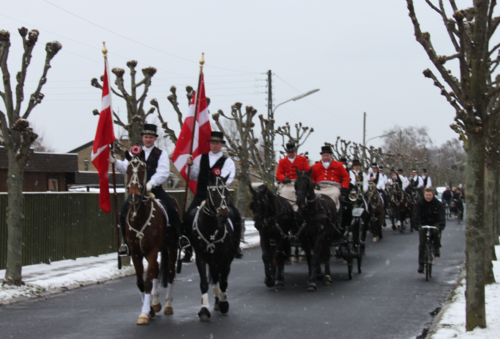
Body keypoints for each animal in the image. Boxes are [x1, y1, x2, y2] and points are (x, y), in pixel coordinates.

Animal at [124, 149, 179, 326]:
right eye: (128, 171)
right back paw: (155, 303)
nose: (134, 196)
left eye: (142, 171)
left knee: (169, 273)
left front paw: (144, 314)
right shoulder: (136, 253)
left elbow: (148, 281)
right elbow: (141, 282)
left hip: (171, 248)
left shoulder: (152, 251)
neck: (140, 215)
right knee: (155, 271)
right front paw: (148, 310)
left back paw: (168, 305)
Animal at [191, 174, 238, 322]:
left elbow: (224, 282)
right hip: (212, 260)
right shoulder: (201, 257)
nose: (223, 215)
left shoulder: (226, 258)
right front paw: (204, 310)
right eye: (212, 192)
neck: (211, 228)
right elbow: (204, 283)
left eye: (227, 192)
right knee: (216, 277)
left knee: (220, 279)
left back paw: (220, 301)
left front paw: (224, 304)